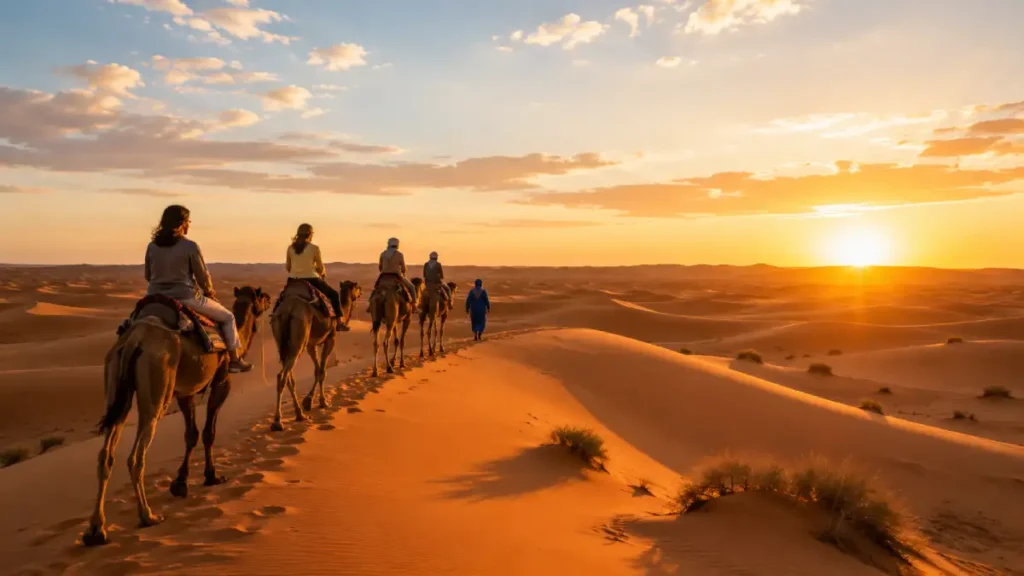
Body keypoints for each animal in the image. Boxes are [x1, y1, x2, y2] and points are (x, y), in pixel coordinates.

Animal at [83, 286, 271, 547]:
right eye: (261, 296)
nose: (271, 299)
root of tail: (134, 340)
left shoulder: (185, 391)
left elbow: (191, 433)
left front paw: (180, 483)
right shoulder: (222, 381)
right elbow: (208, 432)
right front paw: (212, 476)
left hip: (115, 382)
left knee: (105, 454)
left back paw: (96, 530)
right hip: (157, 386)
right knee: (136, 454)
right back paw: (148, 516)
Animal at [270, 280, 361, 431]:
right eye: (357, 287)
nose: (361, 292)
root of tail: (287, 310)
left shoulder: (311, 345)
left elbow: (317, 370)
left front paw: (308, 401)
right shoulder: (330, 338)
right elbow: (322, 371)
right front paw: (322, 402)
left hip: (281, 342)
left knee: (289, 377)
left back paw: (299, 414)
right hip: (299, 337)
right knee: (281, 376)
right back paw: (278, 421)